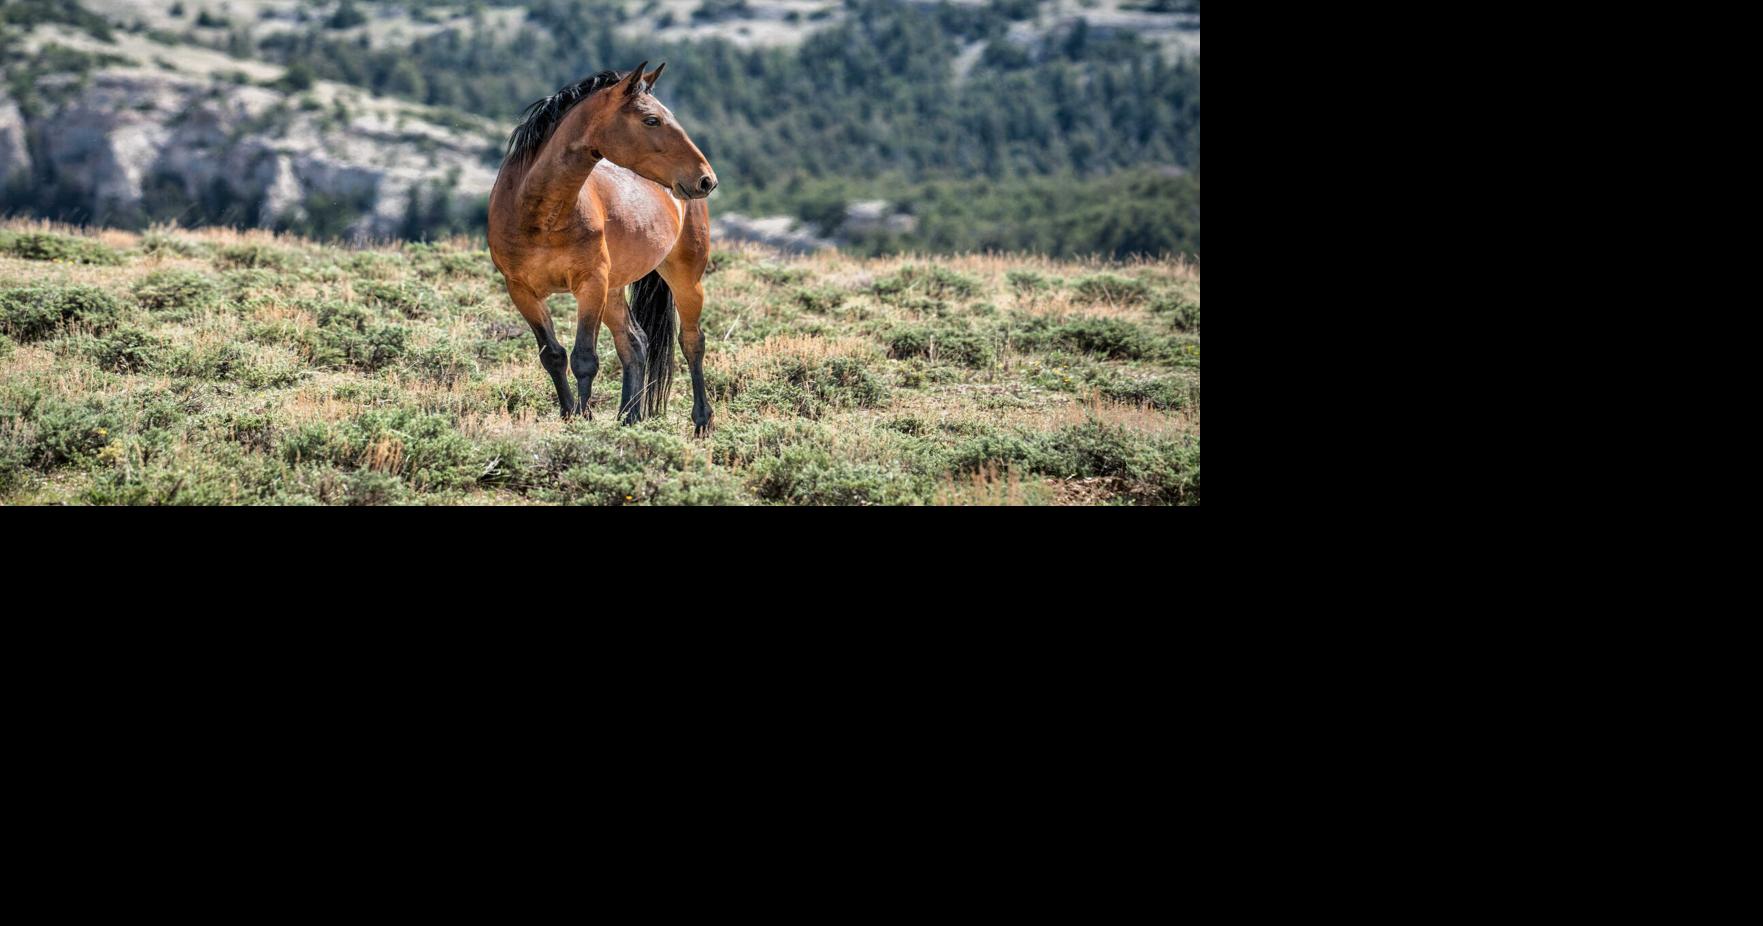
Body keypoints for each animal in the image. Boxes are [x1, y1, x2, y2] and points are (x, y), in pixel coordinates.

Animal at [487, 63, 718, 433]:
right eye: (651, 120)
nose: (705, 179)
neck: (538, 213)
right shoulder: (521, 290)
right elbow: (553, 355)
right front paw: (570, 413)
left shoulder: (590, 284)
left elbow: (584, 358)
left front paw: (583, 419)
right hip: (614, 290)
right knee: (635, 343)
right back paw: (629, 416)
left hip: (684, 278)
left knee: (692, 341)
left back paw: (701, 420)